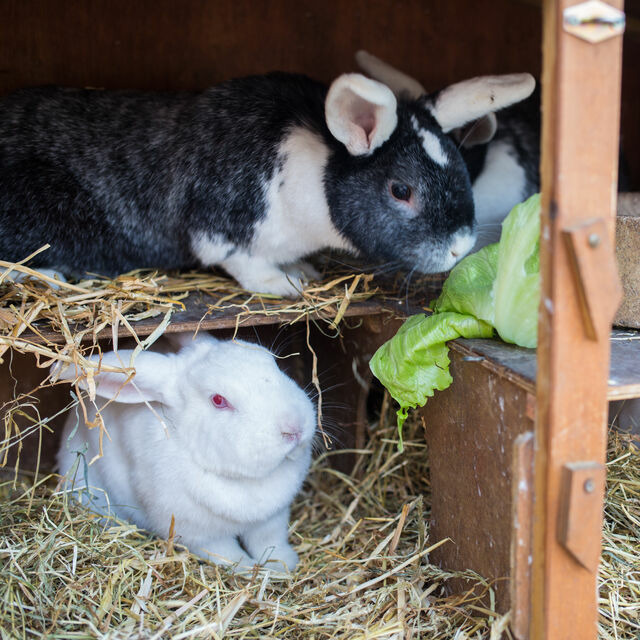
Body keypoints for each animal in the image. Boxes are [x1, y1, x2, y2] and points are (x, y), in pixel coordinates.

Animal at [0, 65, 528, 296]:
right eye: (401, 190)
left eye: (463, 169)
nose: (459, 247)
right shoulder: (220, 228)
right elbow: (245, 265)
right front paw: (285, 285)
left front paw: (302, 271)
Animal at [56, 332, 316, 572]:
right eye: (218, 400)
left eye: (273, 363)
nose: (294, 428)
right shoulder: (202, 536)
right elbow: (229, 555)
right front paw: (247, 569)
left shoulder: (272, 519)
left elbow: (270, 543)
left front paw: (285, 564)